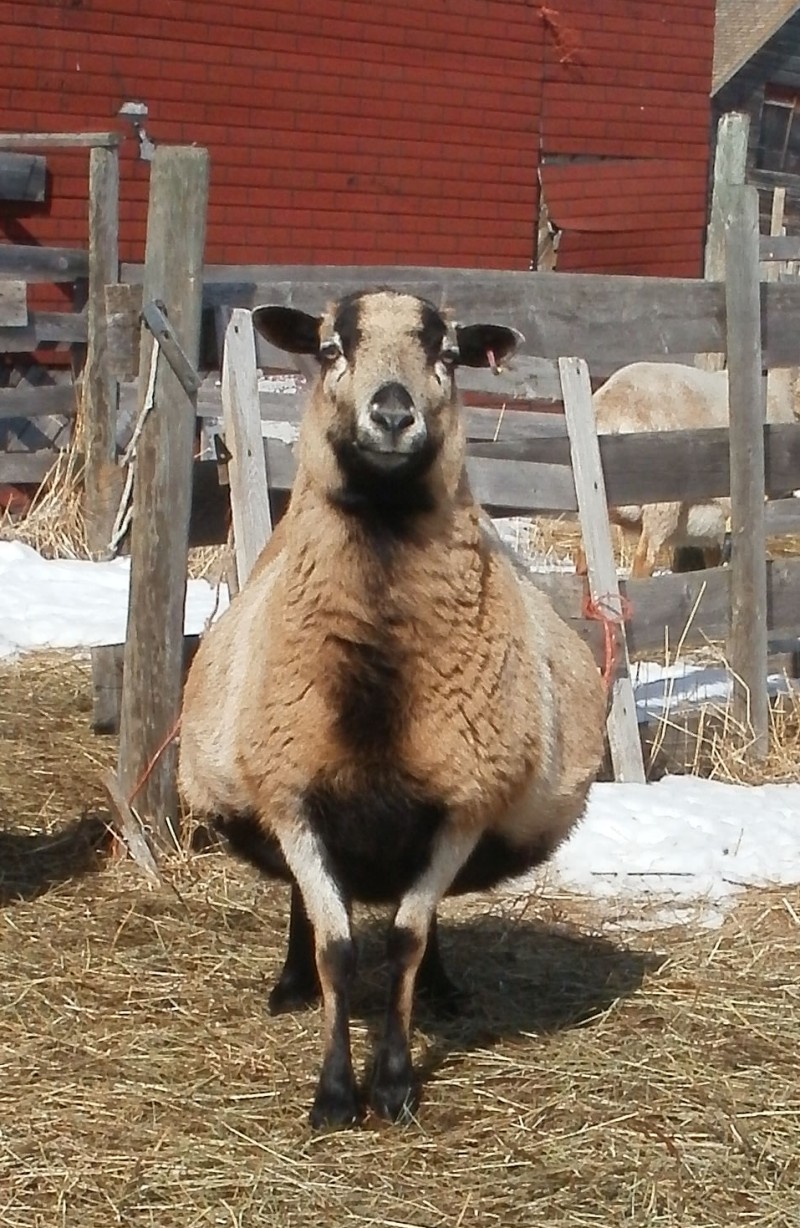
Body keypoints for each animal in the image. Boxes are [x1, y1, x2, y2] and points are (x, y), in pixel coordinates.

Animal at [178, 288, 606, 1128]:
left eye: (448, 354)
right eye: (329, 348)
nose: (393, 413)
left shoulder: (464, 802)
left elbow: (405, 937)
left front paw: (397, 1082)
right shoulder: (293, 797)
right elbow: (336, 945)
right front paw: (335, 1093)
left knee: (420, 922)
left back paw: (440, 988)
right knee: (308, 907)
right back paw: (290, 985)